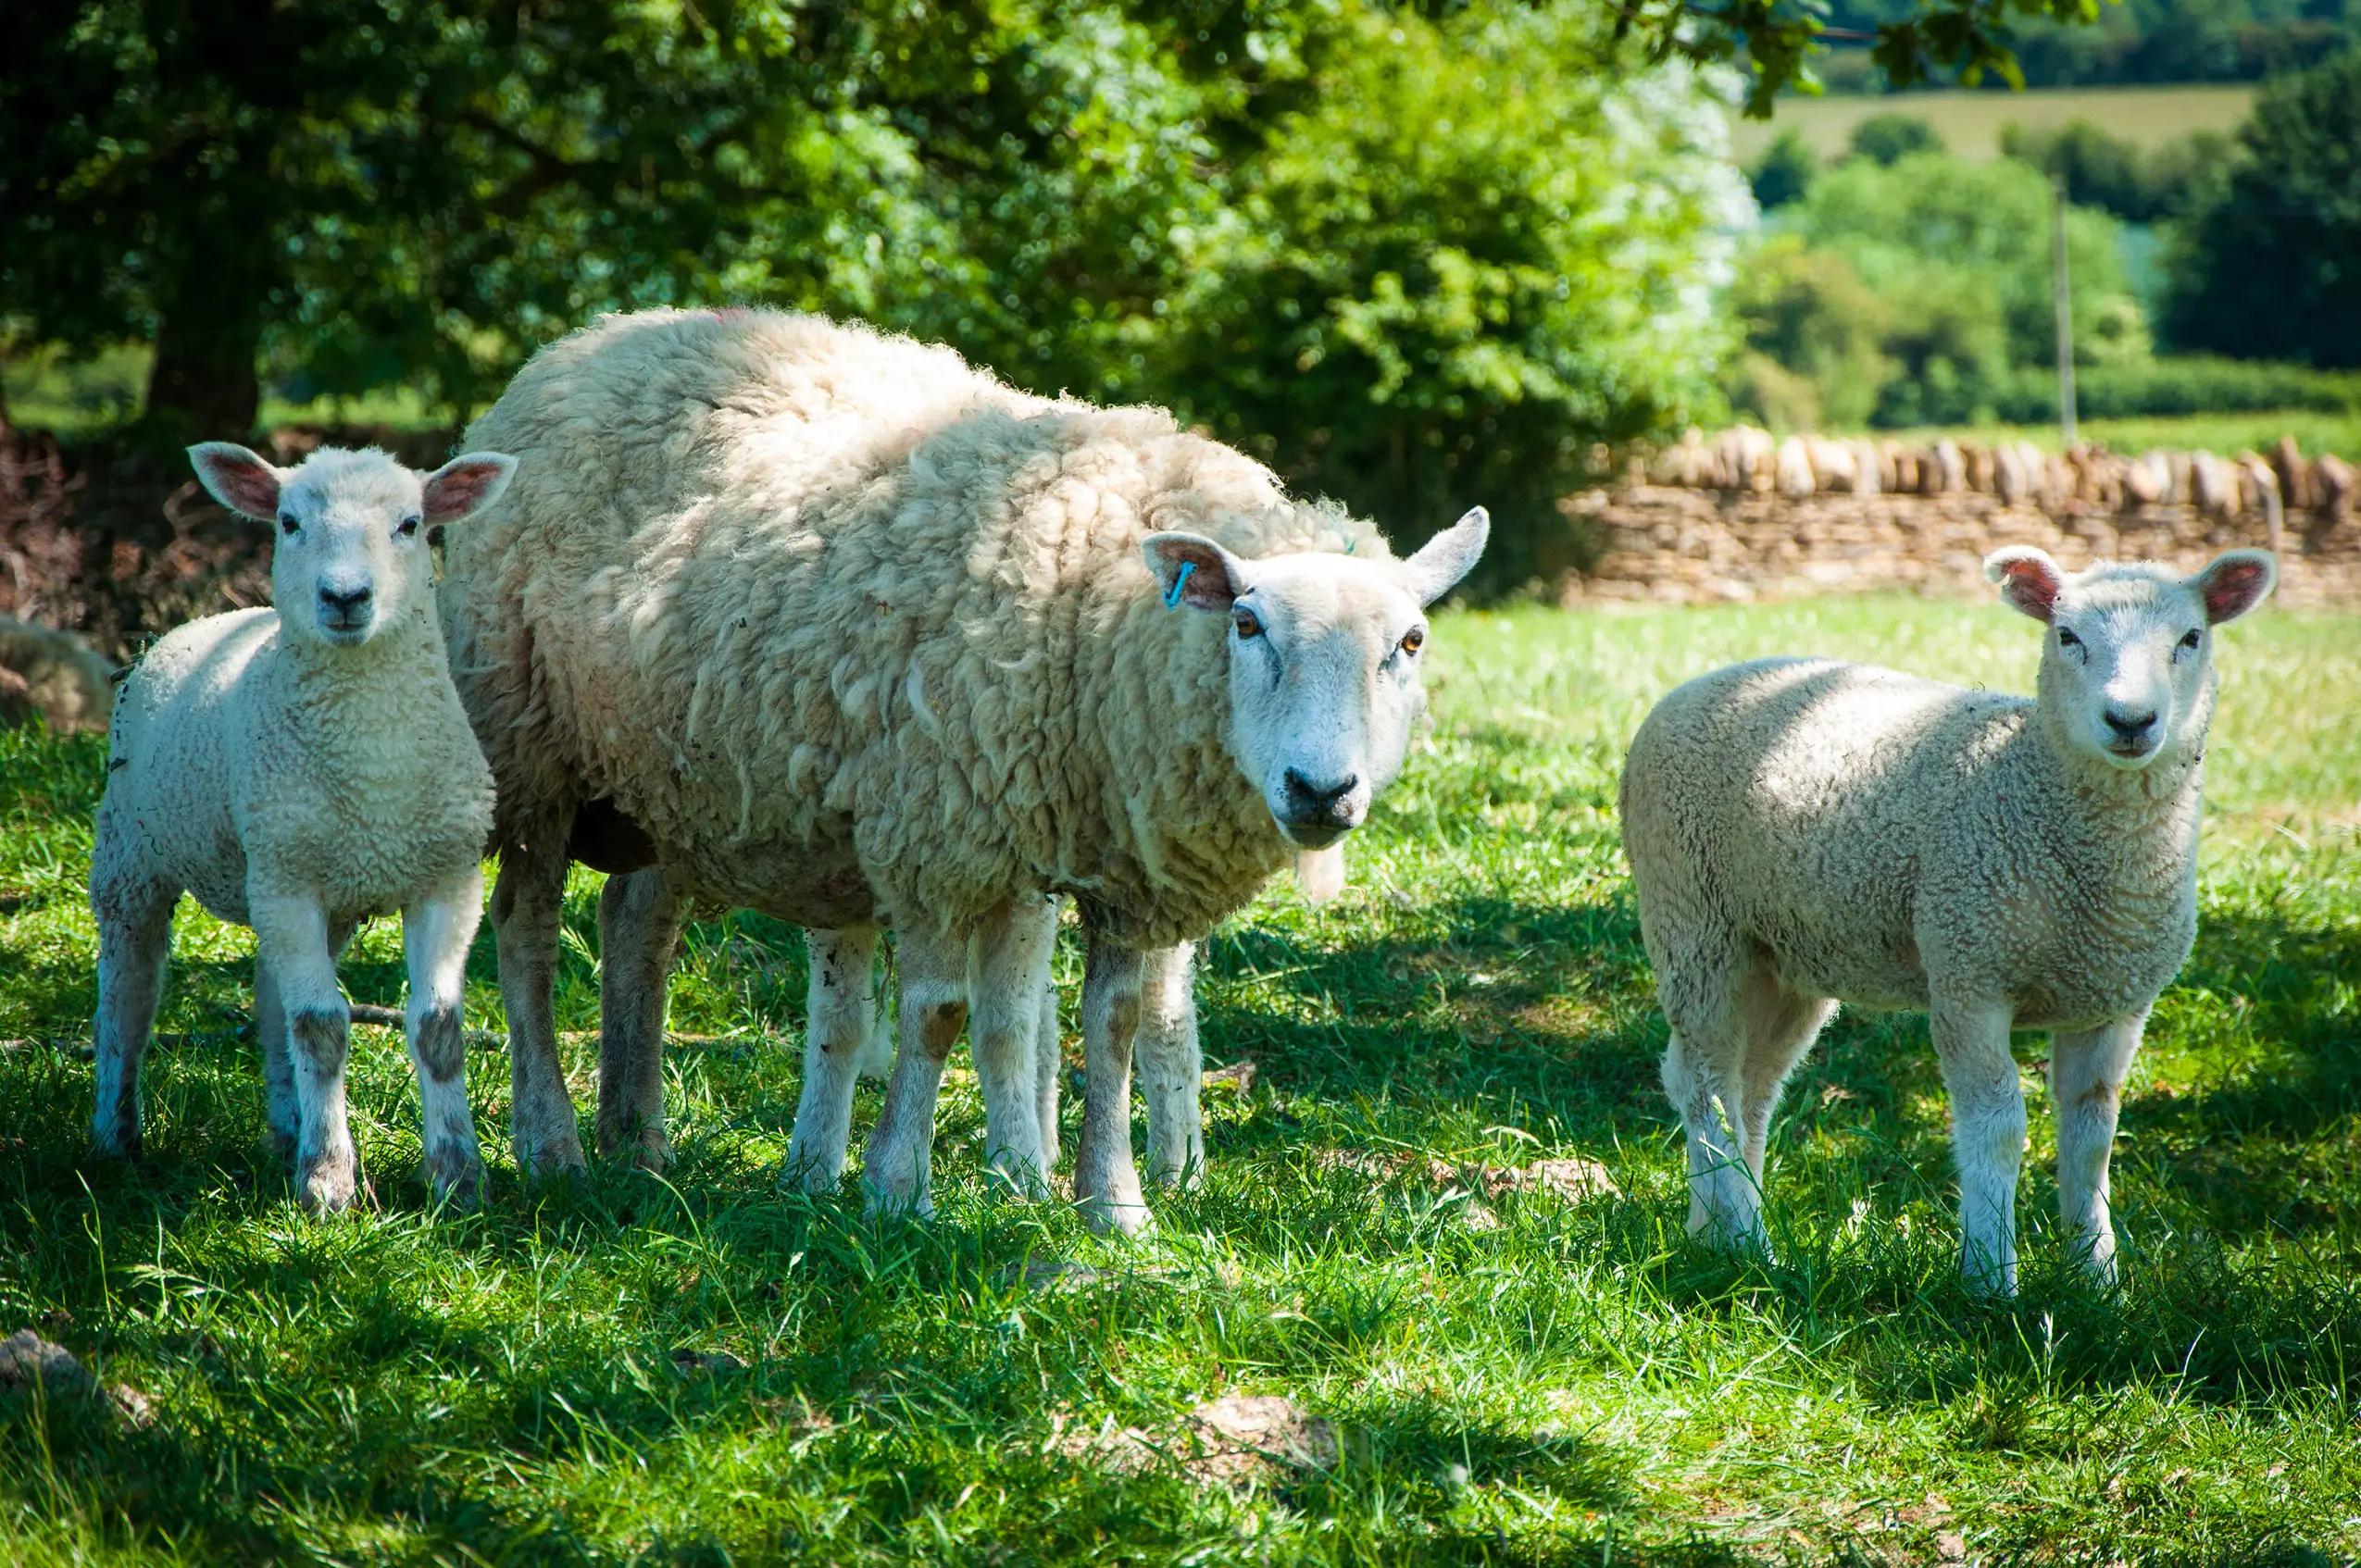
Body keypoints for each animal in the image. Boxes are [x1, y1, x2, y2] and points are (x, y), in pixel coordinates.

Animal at [90, 443, 515, 1213]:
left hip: (306, 883)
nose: (345, 597)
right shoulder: (288, 883)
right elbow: (322, 1028)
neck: (374, 767)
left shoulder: (446, 875)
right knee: (127, 998)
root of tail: (208, 619)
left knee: (269, 1004)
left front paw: (458, 1177)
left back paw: (286, 1128)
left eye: (411, 523)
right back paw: (116, 1135)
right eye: (288, 523)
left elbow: (436, 1027)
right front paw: (328, 1184)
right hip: (134, 855)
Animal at [439, 308, 1488, 1233]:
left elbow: (1108, 1023)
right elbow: (942, 1014)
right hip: (528, 748)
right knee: (526, 939)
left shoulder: (1110, 864)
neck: (1095, 601)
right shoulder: (936, 837)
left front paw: (1113, 1209)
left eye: (1411, 641)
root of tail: (597, 338)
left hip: (658, 779)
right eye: (1246, 622)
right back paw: (550, 1144)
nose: (1322, 791)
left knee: (634, 929)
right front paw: (899, 1188)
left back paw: (639, 1138)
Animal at [1619, 545, 2276, 1294]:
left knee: (1744, 1086)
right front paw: (1991, 1277)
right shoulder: (1968, 974)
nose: (2130, 721)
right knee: (1707, 1090)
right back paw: (1747, 1238)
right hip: (1692, 920)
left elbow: (2092, 1135)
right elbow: (1997, 1126)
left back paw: (1718, 1236)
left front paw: (2097, 1279)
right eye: (2067, 637)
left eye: (2191, 638)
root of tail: (1699, 683)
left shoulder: (2113, 1001)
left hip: (1781, 954)